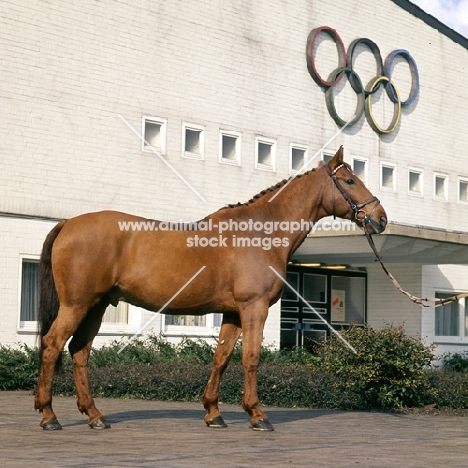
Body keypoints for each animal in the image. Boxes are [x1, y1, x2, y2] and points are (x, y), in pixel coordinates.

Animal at [34, 147, 386, 432]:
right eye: (350, 181)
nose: (380, 218)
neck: (260, 233)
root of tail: (67, 223)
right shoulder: (254, 308)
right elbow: (251, 358)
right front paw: (257, 415)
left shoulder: (232, 313)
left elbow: (221, 358)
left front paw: (214, 413)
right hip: (77, 305)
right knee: (52, 345)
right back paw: (49, 416)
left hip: (96, 307)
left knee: (79, 352)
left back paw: (95, 416)